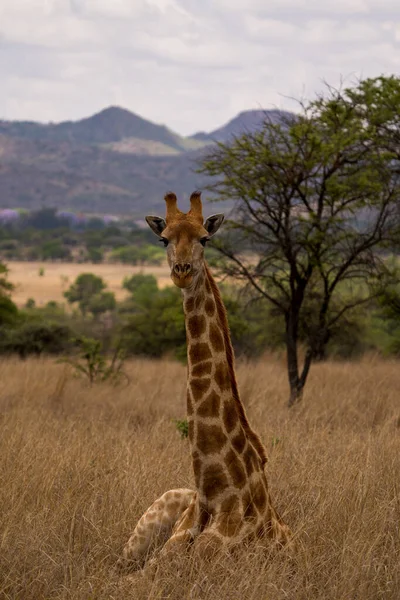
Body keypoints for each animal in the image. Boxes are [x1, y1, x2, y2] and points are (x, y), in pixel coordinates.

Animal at [117, 192, 292, 572]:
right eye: (163, 238)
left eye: (205, 239)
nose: (181, 272)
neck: (215, 493)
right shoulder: (153, 567)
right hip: (141, 533)